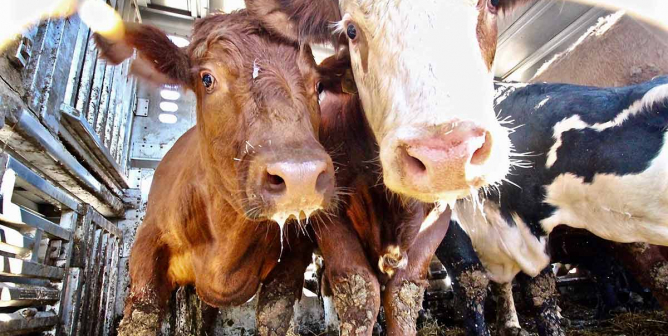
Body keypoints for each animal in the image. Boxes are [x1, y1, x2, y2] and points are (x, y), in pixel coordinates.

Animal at [94, 10, 340, 336]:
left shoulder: (290, 261)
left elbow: (275, 316)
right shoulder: (147, 247)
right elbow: (141, 316)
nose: (301, 176)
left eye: (319, 86)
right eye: (207, 78)